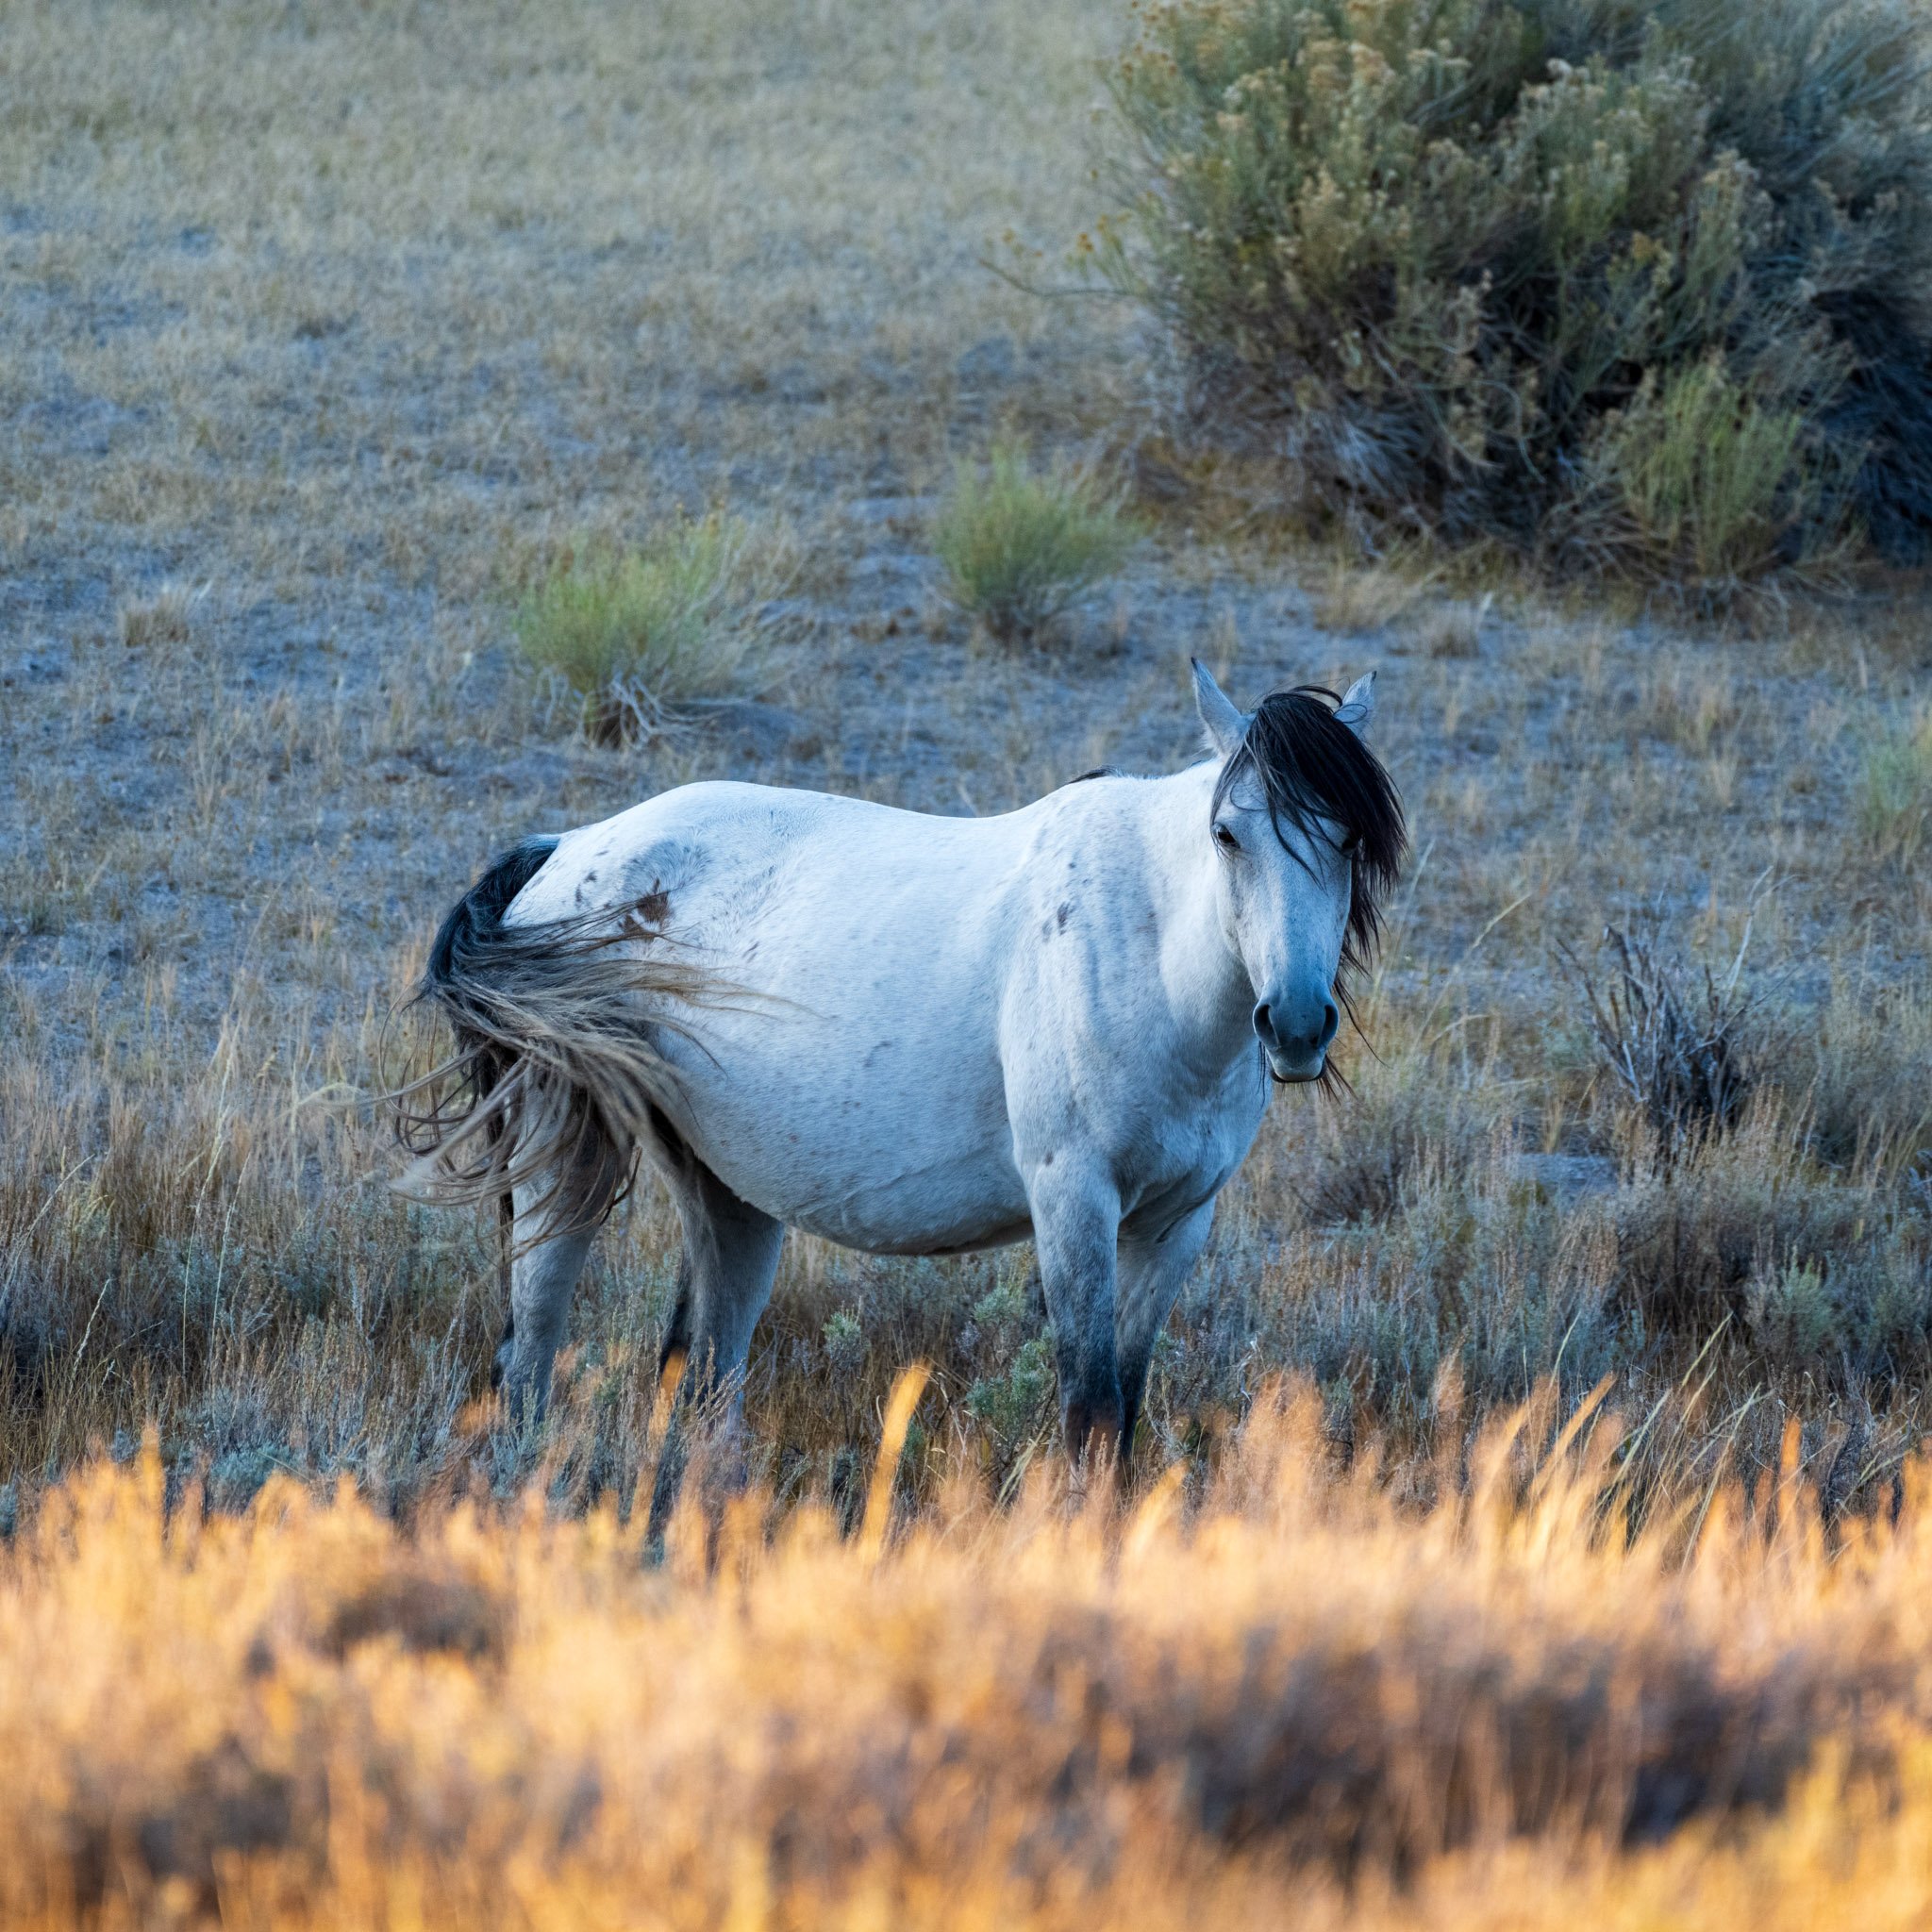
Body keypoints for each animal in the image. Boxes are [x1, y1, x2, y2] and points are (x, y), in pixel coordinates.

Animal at [395, 660, 1405, 1488]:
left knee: (697, 1375)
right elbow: (1087, 1413)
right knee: (528, 1358)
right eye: (1228, 835)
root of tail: (564, 850)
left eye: (1352, 840)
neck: (1147, 945)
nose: (1297, 1023)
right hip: (568, 1157)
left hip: (729, 1195)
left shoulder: (1175, 1225)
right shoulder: (1073, 1201)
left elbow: (1121, 1417)